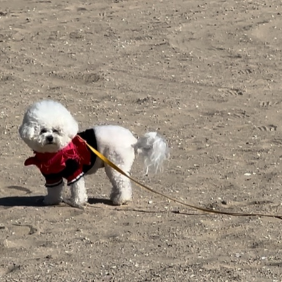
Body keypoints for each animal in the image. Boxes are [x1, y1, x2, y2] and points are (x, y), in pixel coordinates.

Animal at [19, 100, 170, 206]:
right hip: (113, 167)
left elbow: (77, 187)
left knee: (123, 184)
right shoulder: (51, 176)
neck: (55, 153)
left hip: (116, 165)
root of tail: (133, 141)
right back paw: (115, 197)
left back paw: (121, 199)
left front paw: (78, 202)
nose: (50, 138)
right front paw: (52, 200)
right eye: (43, 131)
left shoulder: (75, 171)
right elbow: (53, 189)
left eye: (56, 130)